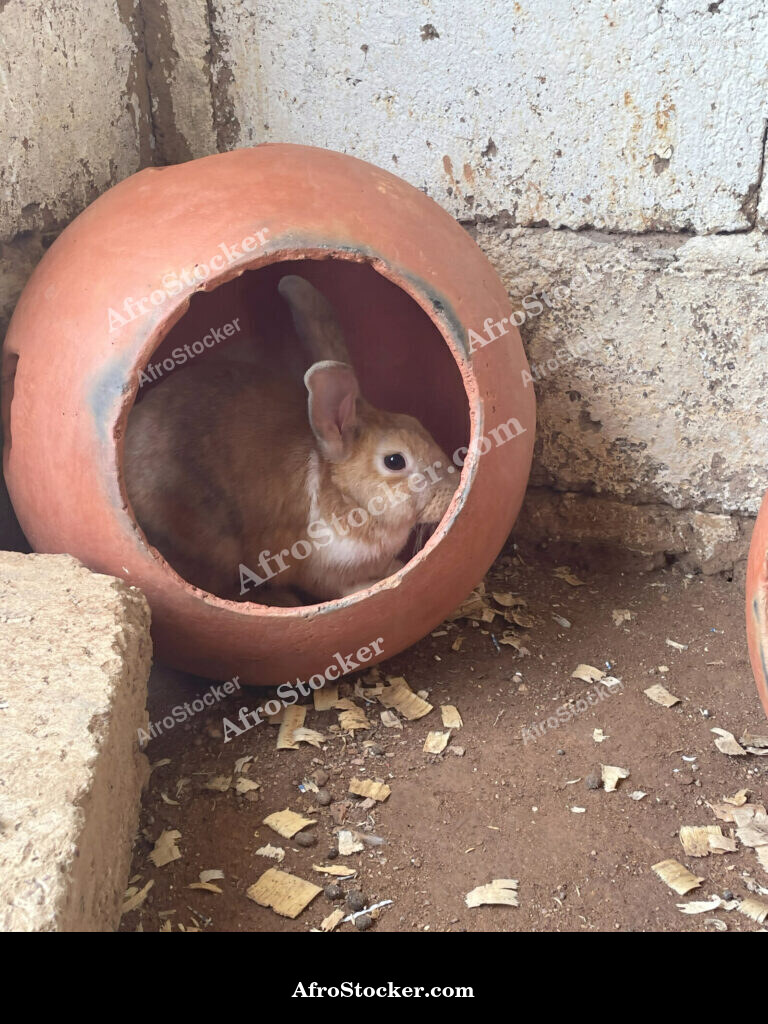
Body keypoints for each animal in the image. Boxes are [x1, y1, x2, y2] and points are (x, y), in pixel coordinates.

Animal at [124, 273, 457, 603]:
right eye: (394, 461)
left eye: (415, 422)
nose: (453, 489)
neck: (347, 495)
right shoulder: (319, 568)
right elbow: (338, 588)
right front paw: (372, 584)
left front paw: (394, 567)